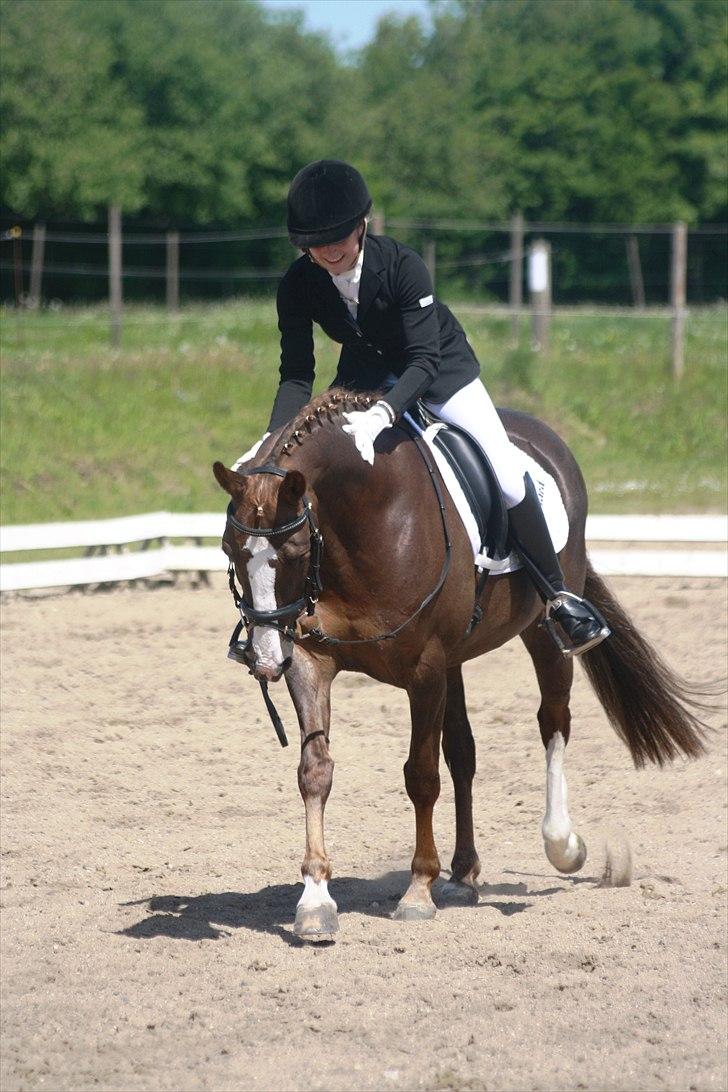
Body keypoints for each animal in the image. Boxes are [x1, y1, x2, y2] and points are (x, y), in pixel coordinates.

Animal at [213, 389, 707, 940]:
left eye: (297, 551)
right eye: (229, 548)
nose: (265, 657)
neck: (360, 521)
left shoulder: (424, 669)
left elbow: (421, 776)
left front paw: (417, 890)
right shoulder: (312, 660)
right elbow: (316, 770)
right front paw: (316, 898)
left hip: (543, 632)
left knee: (553, 723)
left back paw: (562, 845)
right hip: (454, 661)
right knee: (465, 754)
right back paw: (463, 874)